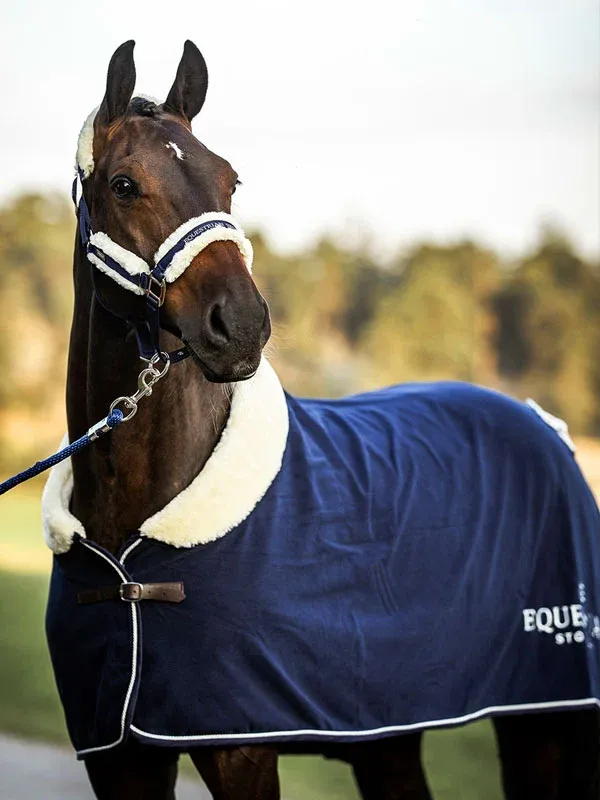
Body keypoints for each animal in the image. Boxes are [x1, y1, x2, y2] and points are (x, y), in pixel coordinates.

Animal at [40, 40, 599, 799]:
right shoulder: (119, 756)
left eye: (231, 180)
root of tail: (547, 425)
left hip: (543, 719)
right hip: (390, 738)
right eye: (125, 184)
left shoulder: (240, 750)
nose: (241, 324)